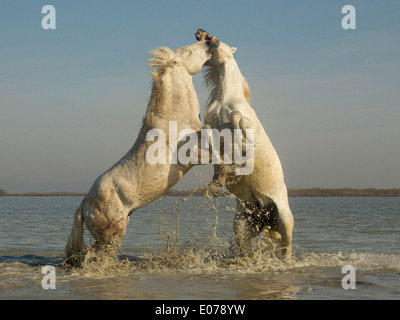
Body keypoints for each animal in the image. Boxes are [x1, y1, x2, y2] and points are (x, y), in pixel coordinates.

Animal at [64, 40, 212, 266]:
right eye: (189, 51)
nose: (209, 43)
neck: (174, 120)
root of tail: (82, 205)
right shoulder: (193, 155)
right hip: (114, 233)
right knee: (96, 253)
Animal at [196, 28, 294, 258]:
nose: (200, 31)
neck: (225, 99)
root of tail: (265, 216)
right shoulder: (211, 125)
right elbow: (208, 133)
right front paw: (217, 181)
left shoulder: (244, 125)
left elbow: (237, 125)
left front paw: (231, 163)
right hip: (243, 225)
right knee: (246, 249)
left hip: (286, 222)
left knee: (287, 249)